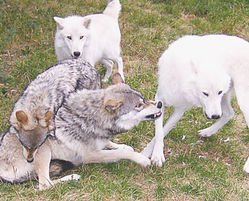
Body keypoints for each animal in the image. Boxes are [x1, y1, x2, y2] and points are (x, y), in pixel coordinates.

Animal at [0, 73, 161, 190]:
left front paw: (122, 146)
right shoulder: (91, 155)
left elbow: (112, 144)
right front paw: (142, 159)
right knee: (45, 185)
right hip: (44, 149)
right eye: (138, 105)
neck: (92, 117)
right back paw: (73, 177)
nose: (159, 104)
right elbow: (122, 154)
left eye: (144, 99)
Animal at [141, 34, 249, 170]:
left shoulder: (180, 110)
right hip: (226, 100)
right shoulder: (159, 100)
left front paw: (155, 156)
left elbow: (164, 130)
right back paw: (207, 132)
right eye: (205, 93)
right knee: (230, 113)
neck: (182, 81)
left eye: (219, 92)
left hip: (241, 100)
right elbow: (159, 132)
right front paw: (148, 153)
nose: (215, 116)